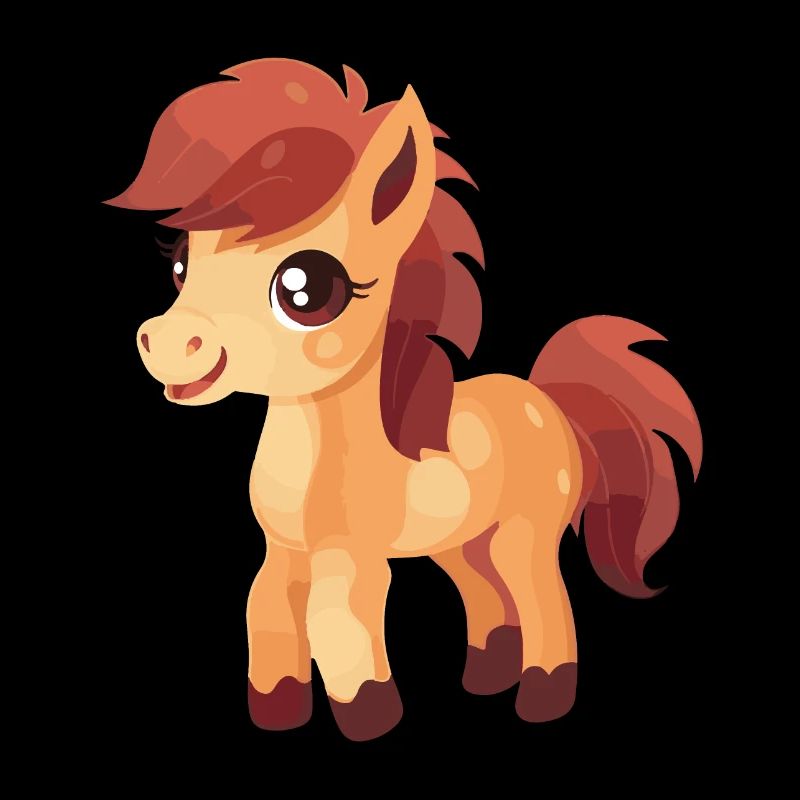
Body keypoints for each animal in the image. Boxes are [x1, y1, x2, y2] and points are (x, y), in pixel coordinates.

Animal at [107, 59, 703, 741]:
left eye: (307, 289)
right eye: (180, 263)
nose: (167, 343)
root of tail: (547, 400)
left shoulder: (351, 559)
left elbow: (336, 620)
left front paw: (371, 716)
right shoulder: (284, 553)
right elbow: (267, 614)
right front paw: (279, 712)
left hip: (523, 531)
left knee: (538, 593)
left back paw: (543, 697)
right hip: (459, 540)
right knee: (485, 591)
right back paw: (485, 678)